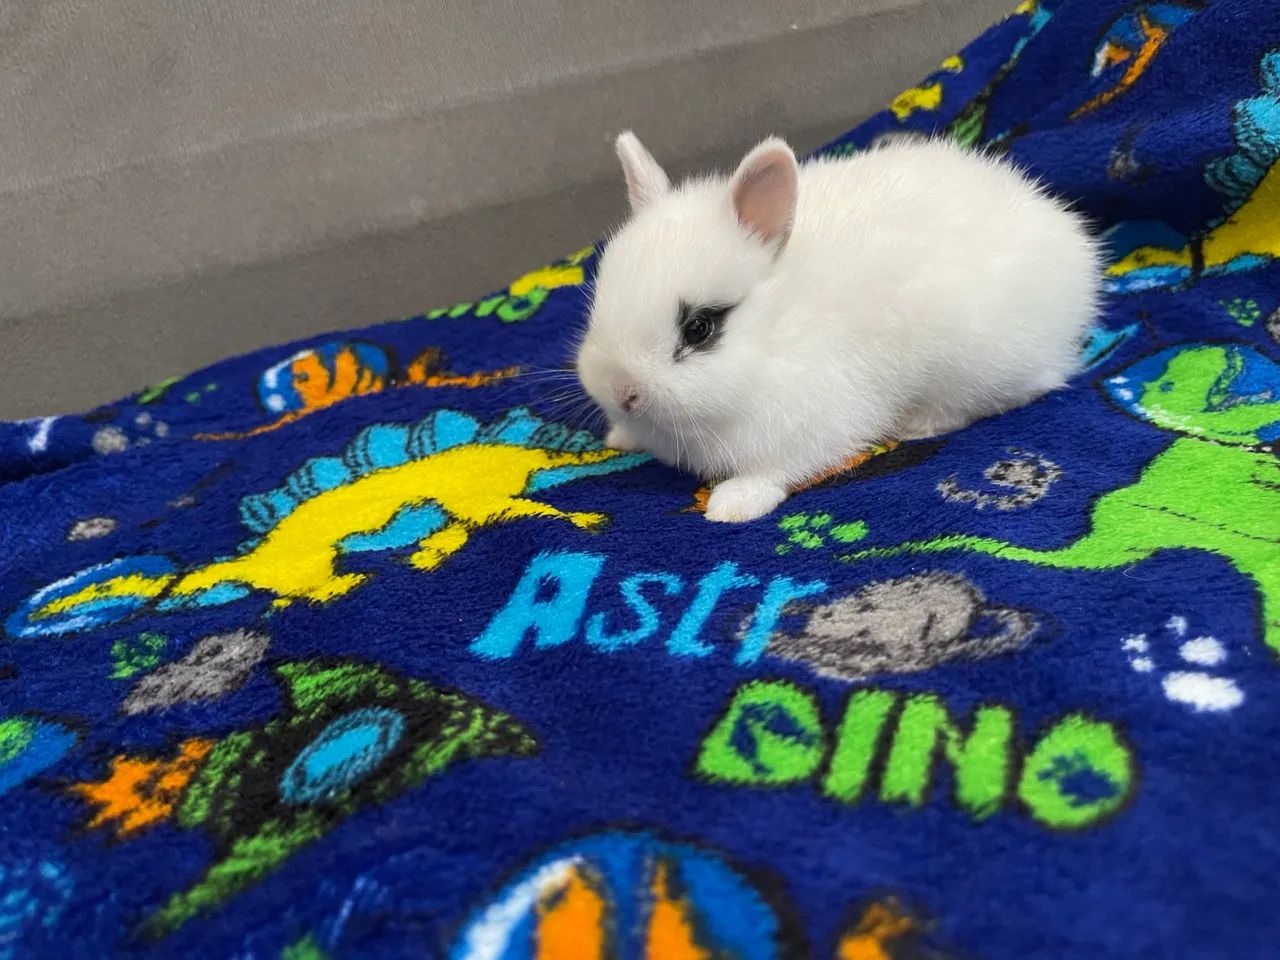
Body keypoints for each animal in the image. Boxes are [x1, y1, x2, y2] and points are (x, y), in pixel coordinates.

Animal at [575, 131, 1101, 522]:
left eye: (699, 328)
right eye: (599, 302)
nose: (623, 392)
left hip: (980, 363)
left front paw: (731, 505)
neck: (775, 333)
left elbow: (777, 471)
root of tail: (1072, 246)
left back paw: (918, 425)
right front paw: (620, 437)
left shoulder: (810, 423)